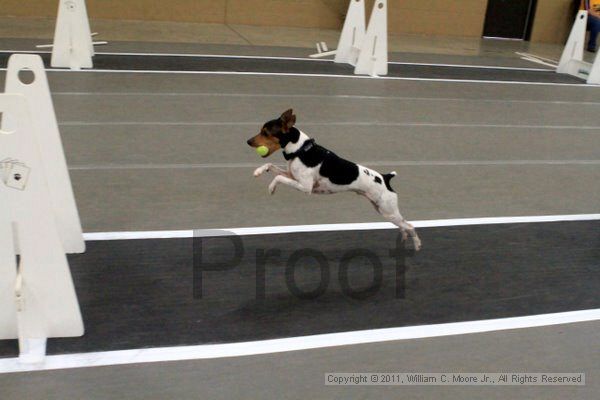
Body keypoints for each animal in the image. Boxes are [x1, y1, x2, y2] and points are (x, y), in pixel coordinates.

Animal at [245, 109, 422, 250]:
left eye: (265, 133)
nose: (248, 141)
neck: (301, 150)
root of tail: (385, 178)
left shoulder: (305, 187)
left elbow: (278, 177)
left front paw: (271, 188)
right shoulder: (293, 176)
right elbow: (271, 166)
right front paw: (258, 171)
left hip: (388, 211)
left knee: (410, 225)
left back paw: (417, 245)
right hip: (383, 211)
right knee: (403, 226)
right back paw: (403, 239)